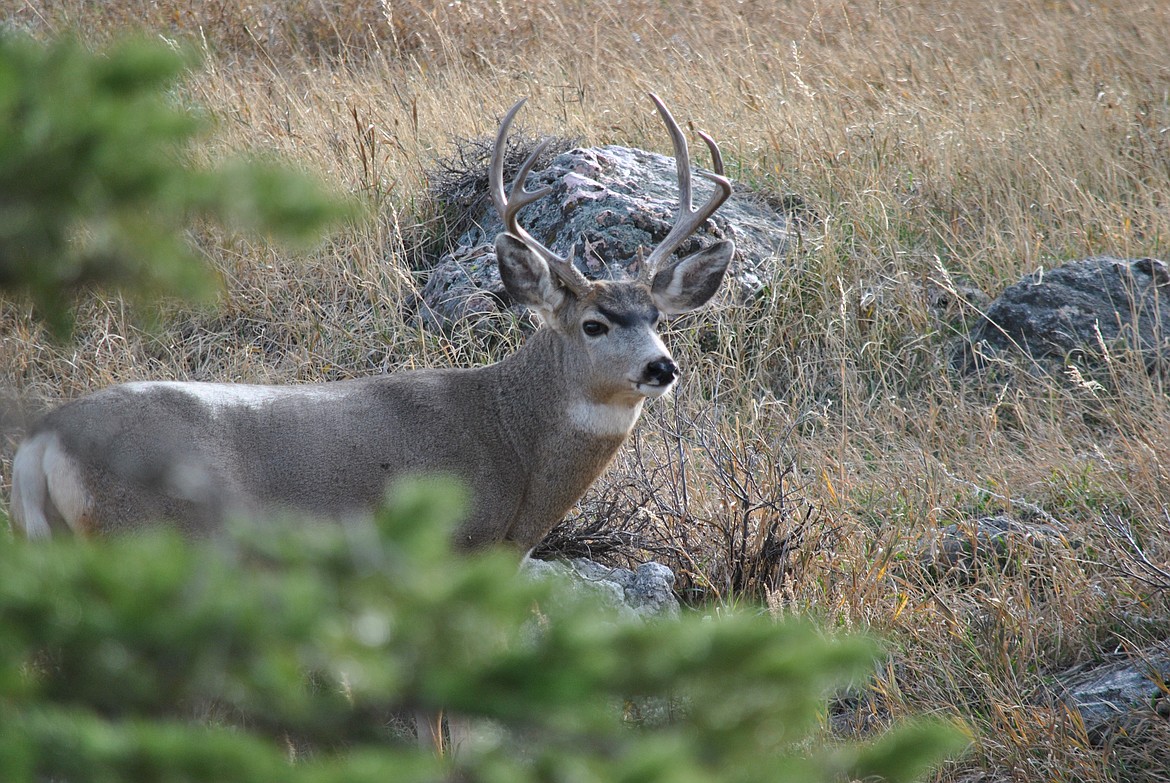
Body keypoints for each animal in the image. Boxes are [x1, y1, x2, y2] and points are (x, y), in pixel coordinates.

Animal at [9, 93, 734, 758]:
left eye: (657, 318)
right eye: (594, 324)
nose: (662, 367)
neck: (508, 441)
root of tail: (42, 441)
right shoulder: (445, 557)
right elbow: (444, 719)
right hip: (152, 548)